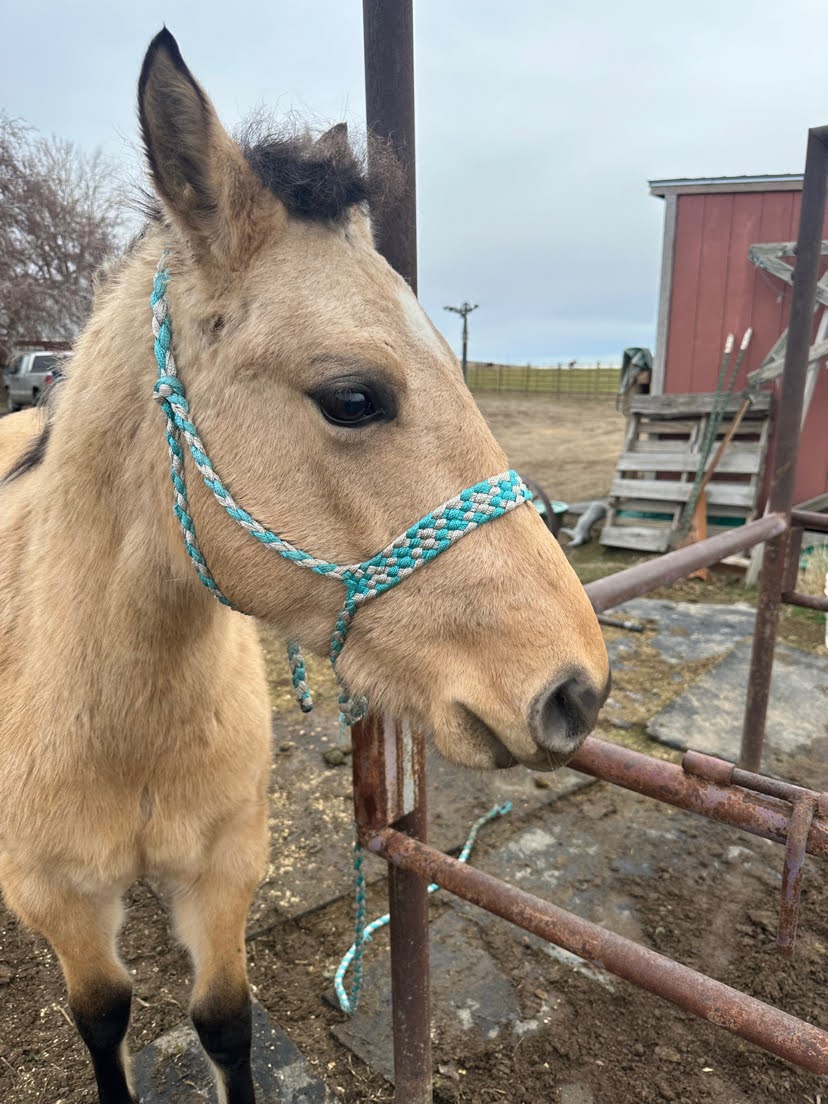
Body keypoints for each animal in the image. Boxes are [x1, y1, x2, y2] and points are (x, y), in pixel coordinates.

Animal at [0, 29, 610, 1104]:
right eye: (353, 397)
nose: (575, 691)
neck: (106, 716)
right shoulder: (58, 900)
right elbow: (103, 1020)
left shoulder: (224, 870)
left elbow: (225, 1023)